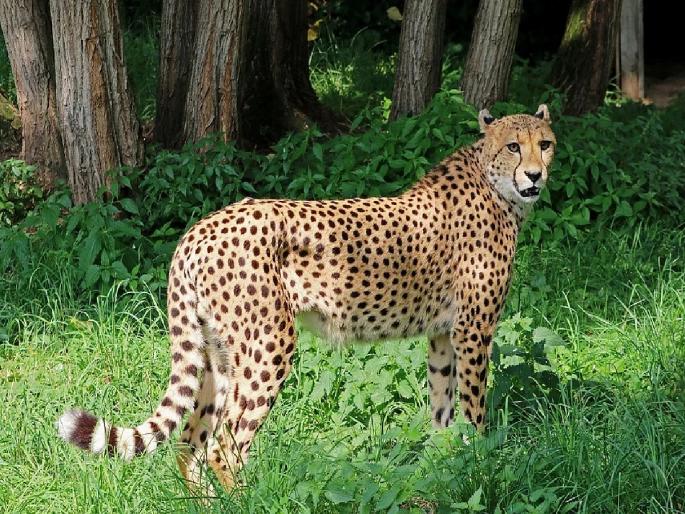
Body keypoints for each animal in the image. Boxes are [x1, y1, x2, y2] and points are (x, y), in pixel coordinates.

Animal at [57, 105, 556, 494]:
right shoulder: (473, 331)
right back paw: (247, 502)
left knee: (191, 441)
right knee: (225, 445)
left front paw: (444, 465)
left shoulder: (441, 335)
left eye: (545, 144)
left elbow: (443, 406)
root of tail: (200, 227)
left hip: (219, 353)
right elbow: (474, 409)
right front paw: (480, 464)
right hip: (269, 345)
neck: (495, 184)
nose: (535, 175)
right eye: (514, 147)